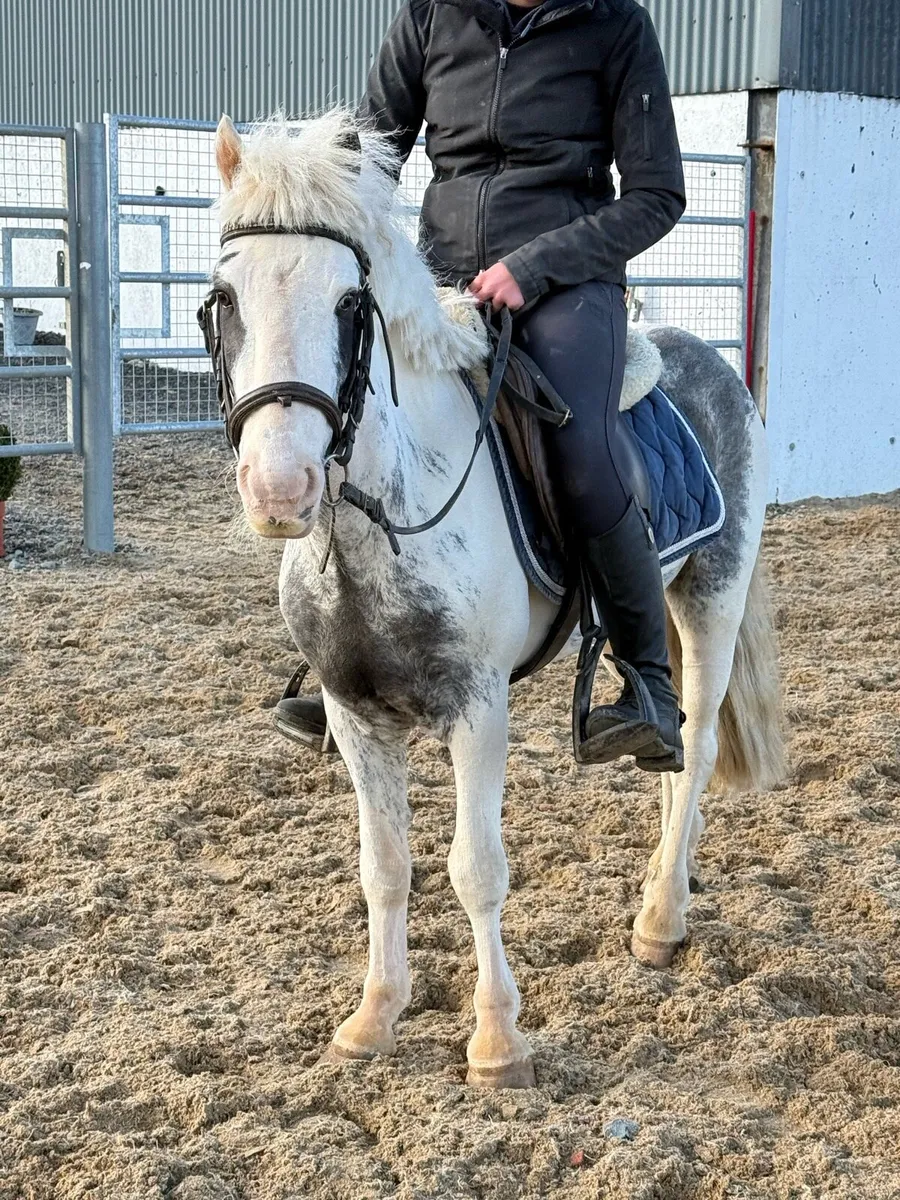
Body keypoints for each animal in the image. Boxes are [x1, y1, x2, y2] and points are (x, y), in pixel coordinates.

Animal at [203, 109, 784, 1089]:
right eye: (223, 299)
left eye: (349, 305)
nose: (281, 490)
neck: (383, 521)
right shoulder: (356, 717)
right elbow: (385, 867)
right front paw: (374, 1018)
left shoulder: (478, 710)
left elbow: (475, 868)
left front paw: (497, 1042)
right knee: (669, 760)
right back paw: (658, 892)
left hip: (712, 597)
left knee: (697, 745)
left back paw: (662, 919)